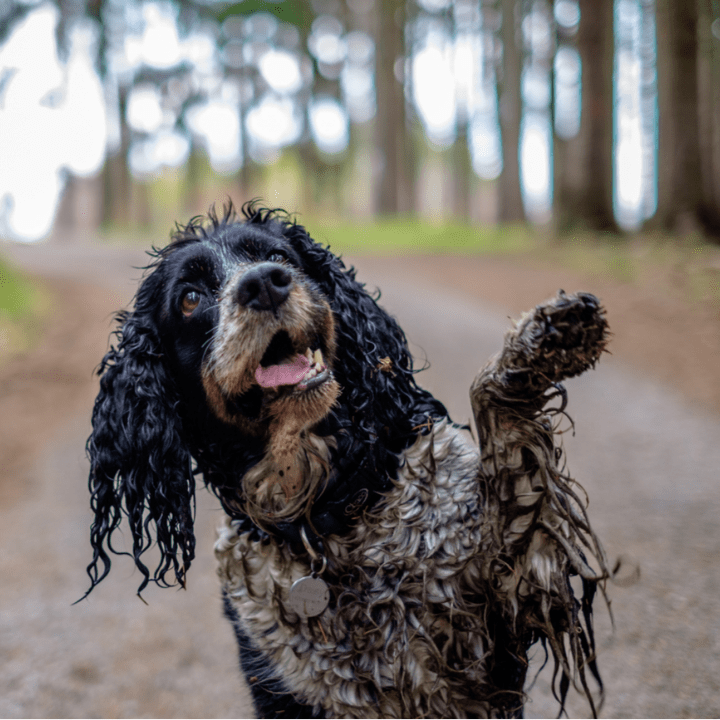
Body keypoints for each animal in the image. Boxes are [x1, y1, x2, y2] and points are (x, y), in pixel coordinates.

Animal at [84, 202, 612, 720]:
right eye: (190, 298)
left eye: (279, 256)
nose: (264, 283)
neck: (329, 513)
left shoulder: (515, 594)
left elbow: (497, 423)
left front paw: (545, 339)